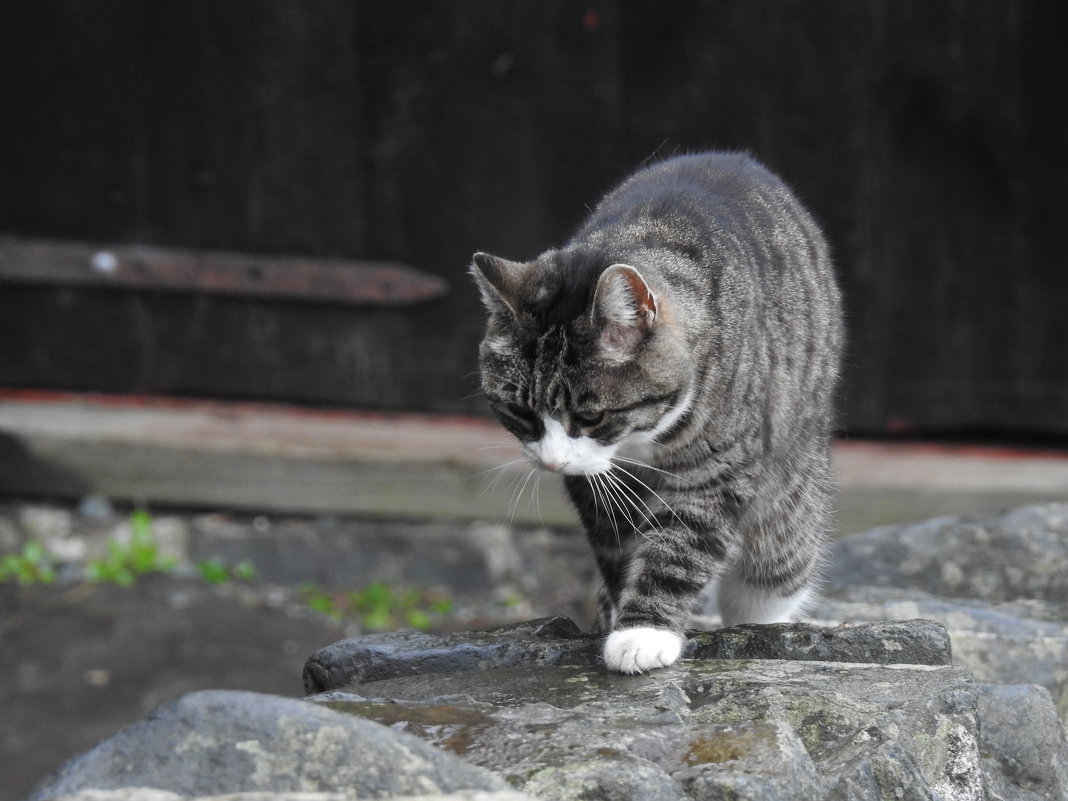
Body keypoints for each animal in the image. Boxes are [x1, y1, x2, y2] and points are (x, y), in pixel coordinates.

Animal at [469, 151, 841, 679]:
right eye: (521, 412)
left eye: (591, 416)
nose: (553, 463)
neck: (639, 439)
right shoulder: (598, 485)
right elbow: (619, 547)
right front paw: (620, 613)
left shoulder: (717, 471)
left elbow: (679, 548)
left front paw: (643, 634)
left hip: (788, 505)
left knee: (771, 573)